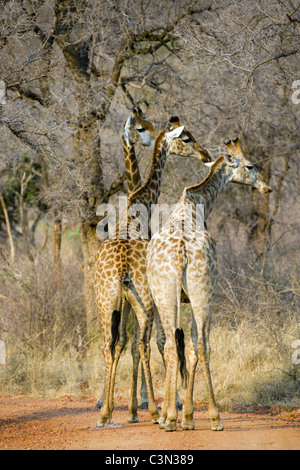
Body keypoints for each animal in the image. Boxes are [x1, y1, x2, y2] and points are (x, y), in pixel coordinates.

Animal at [94, 120, 211, 426]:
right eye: (186, 138)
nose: (205, 154)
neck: (138, 207)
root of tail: (121, 264)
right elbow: (151, 343)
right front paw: (149, 406)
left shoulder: (123, 299)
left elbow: (123, 343)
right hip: (143, 299)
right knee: (143, 344)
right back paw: (154, 411)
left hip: (105, 300)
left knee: (109, 344)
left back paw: (105, 413)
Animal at [146, 138, 274, 432]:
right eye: (250, 165)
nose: (267, 187)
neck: (194, 205)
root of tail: (180, 252)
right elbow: (191, 348)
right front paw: (186, 416)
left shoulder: (174, 298)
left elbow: (178, 349)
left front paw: (181, 416)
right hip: (203, 294)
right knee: (200, 346)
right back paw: (214, 417)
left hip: (171, 296)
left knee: (176, 347)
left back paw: (173, 418)